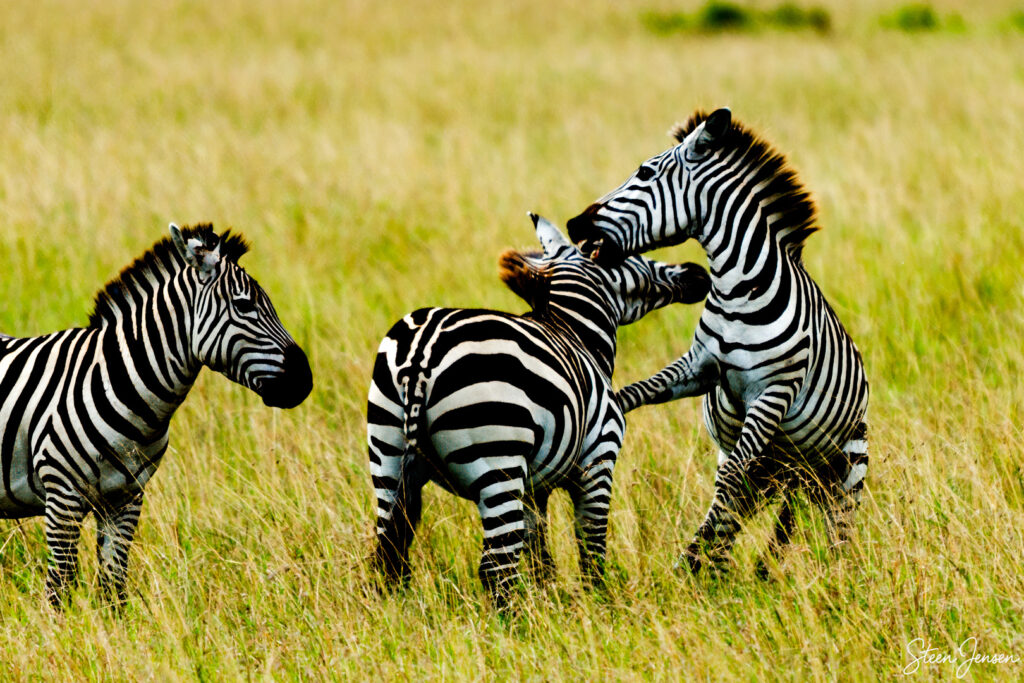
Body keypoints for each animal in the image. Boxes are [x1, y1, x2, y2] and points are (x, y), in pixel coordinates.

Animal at [0, 223, 312, 606]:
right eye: (244, 305)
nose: (305, 381)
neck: (120, 383)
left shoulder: (126, 498)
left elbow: (114, 587)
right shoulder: (62, 496)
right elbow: (59, 588)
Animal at [366, 213, 710, 605]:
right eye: (634, 254)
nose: (698, 272)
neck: (576, 332)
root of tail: (422, 349)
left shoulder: (533, 487)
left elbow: (540, 557)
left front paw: (551, 605)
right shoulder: (599, 460)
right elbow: (591, 549)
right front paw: (599, 607)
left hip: (387, 455)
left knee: (389, 559)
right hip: (496, 460)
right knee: (495, 568)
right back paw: (512, 622)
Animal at [567, 108, 869, 576]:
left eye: (644, 172)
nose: (574, 224)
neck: (738, 290)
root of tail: (796, 473)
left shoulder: (774, 392)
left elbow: (727, 483)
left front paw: (689, 556)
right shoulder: (700, 366)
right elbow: (634, 393)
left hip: (845, 470)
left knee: (836, 535)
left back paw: (835, 580)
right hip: (778, 471)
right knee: (748, 508)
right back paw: (726, 571)